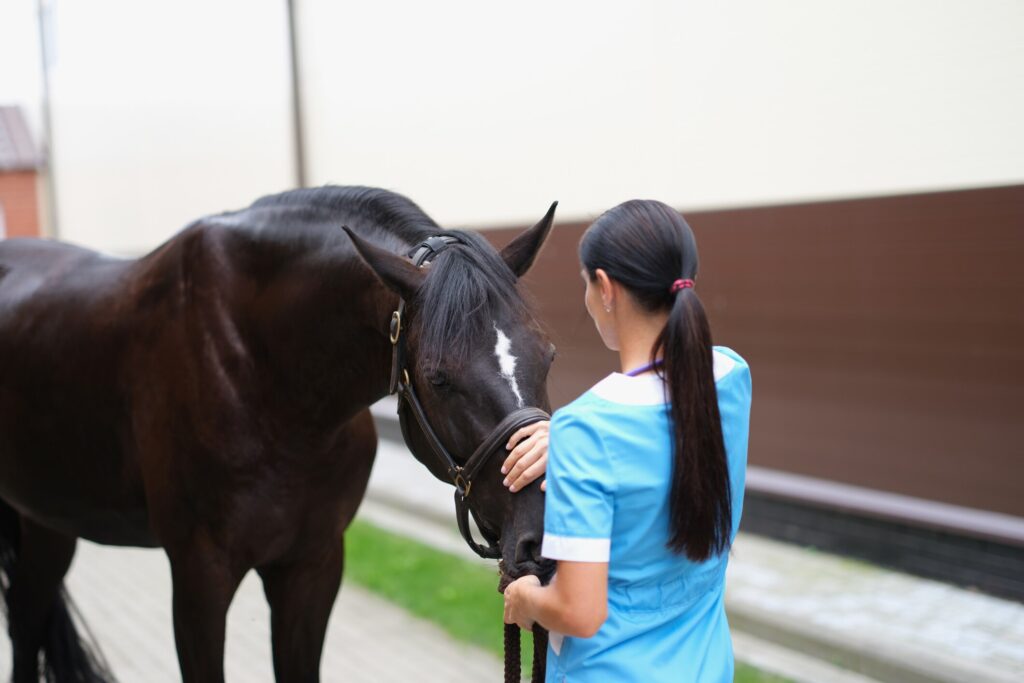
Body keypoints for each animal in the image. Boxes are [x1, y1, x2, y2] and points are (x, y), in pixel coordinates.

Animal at [0, 186, 558, 682]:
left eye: (548, 355)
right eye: (438, 377)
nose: (542, 533)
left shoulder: (312, 566)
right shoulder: (199, 576)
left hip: (49, 520)